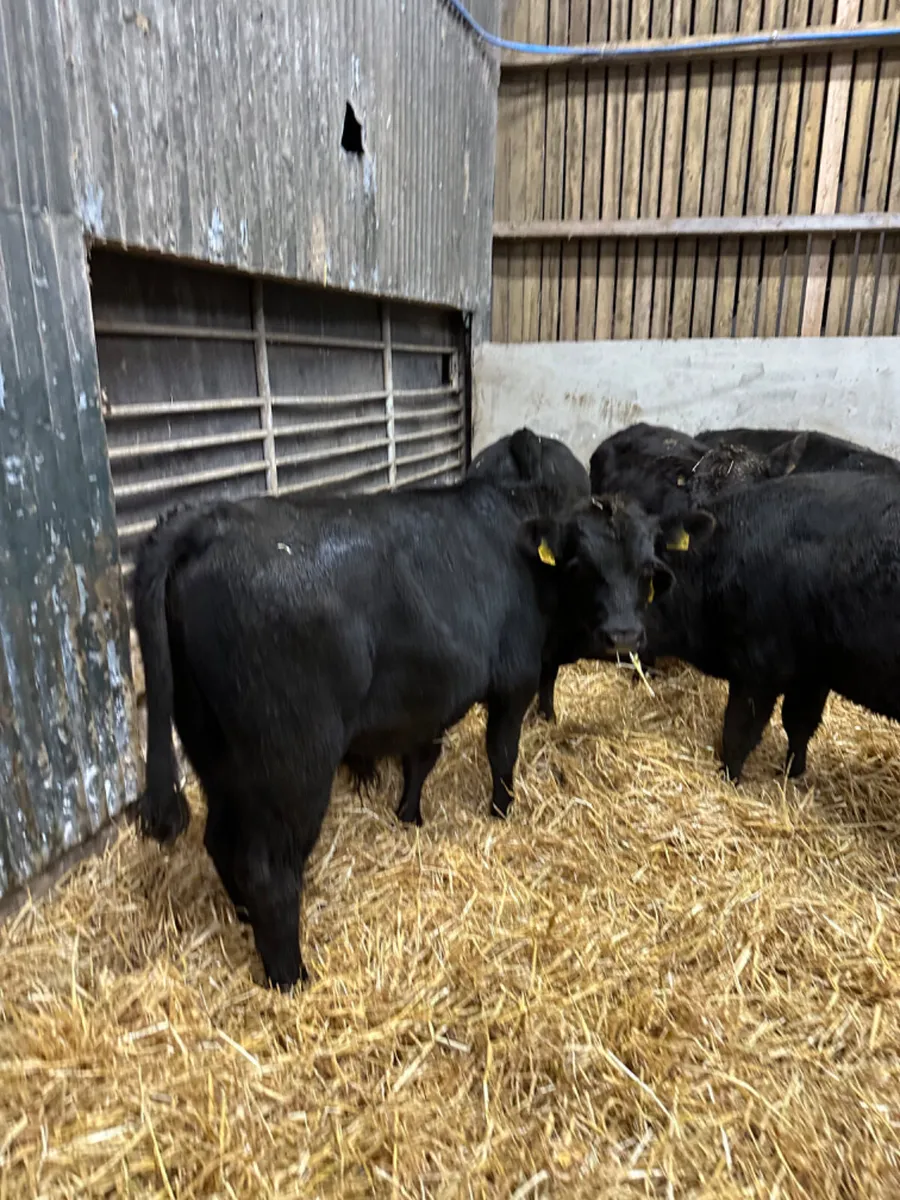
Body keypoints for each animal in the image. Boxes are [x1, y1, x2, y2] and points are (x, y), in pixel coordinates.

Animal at [134, 477, 688, 989]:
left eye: (646, 570)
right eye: (581, 566)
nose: (623, 635)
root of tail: (207, 519)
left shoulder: (429, 697)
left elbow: (421, 758)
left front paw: (409, 816)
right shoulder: (515, 680)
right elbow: (501, 751)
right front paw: (501, 810)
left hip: (217, 754)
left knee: (220, 841)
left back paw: (246, 919)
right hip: (292, 764)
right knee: (266, 870)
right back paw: (291, 977)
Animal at [644, 470, 900, 783]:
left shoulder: (759, 668)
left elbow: (739, 731)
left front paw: (728, 777)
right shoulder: (811, 672)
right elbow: (799, 724)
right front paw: (792, 775)